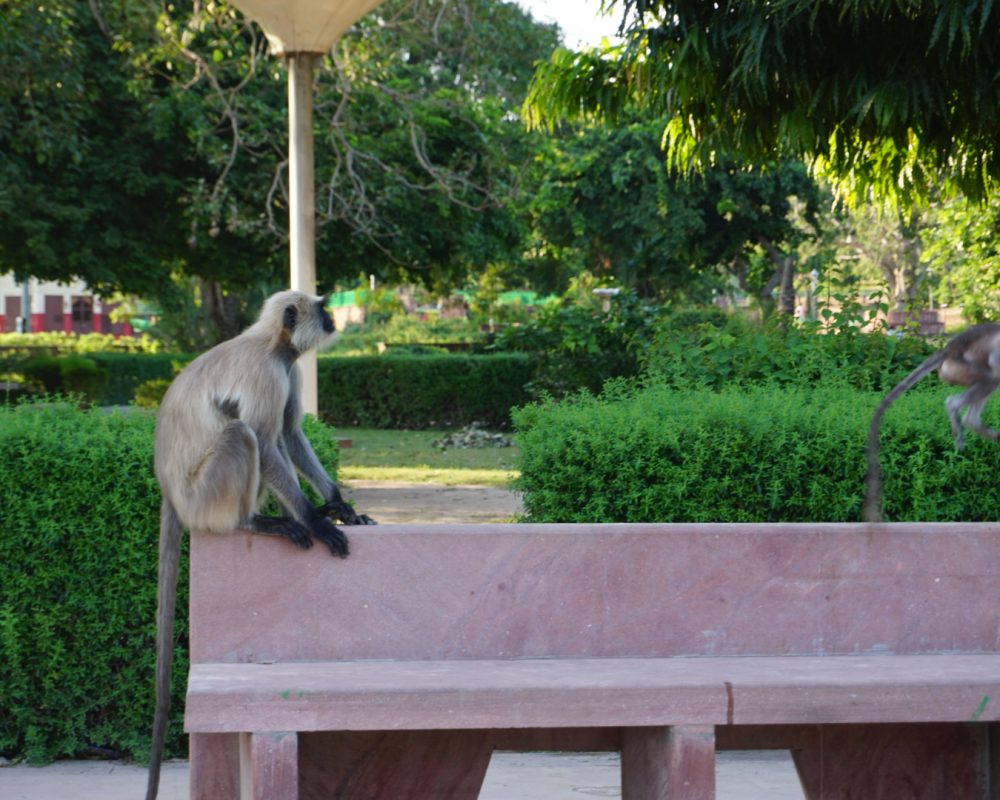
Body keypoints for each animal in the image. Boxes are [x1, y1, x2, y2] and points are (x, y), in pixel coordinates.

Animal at [145, 290, 375, 800]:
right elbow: (269, 442)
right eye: (322, 306)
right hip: (204, 493)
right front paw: (314, 520)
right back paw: (253, 521)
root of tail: (169, 489)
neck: (274, 344)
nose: (333, 317)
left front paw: (339, 506)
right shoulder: (268, 374)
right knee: (243, 433)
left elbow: (290, 434)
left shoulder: (289, 372)